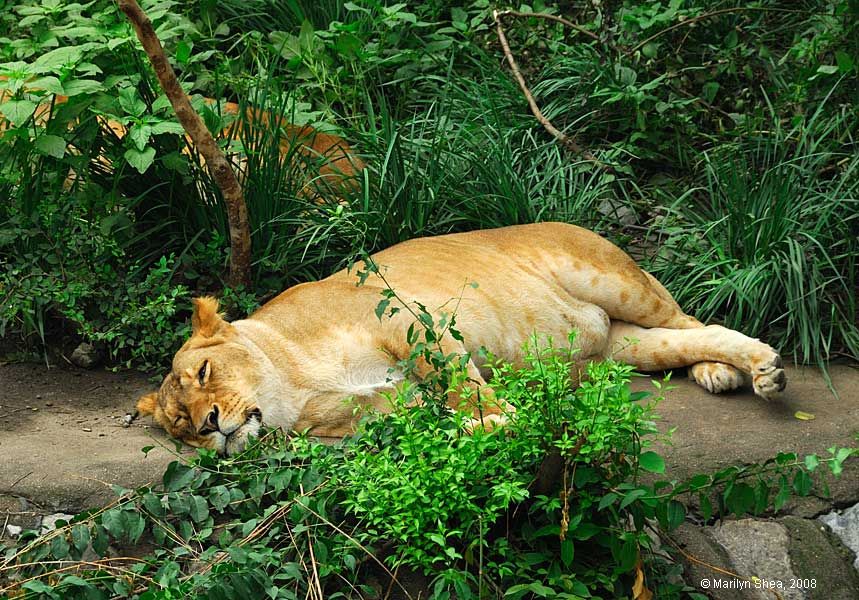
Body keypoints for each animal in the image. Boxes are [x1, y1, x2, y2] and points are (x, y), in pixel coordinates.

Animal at [135, 222, 787, 455]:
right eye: (179, 425)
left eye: (203, 374)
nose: (209, 425)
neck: (293, 387)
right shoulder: (377, 409)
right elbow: (435, 418)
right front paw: (489, 427)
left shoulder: (407, 321)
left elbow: (463, 388)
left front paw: (509, 421)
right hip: (619, 346)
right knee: (677, 340)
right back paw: (734, 370)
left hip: (615, 282)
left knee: (693, 320)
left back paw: (747, 372)